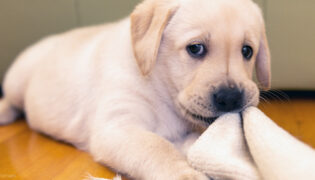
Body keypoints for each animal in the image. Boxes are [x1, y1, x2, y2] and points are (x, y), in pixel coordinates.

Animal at [0, 0, 272, 179]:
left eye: (247, 51)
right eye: (195, 48)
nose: (231, 98)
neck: (159, 88)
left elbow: (189, 143)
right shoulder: (118, 127)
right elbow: (157, 148)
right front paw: (187, 175)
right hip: (17, 80)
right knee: (13, 101)